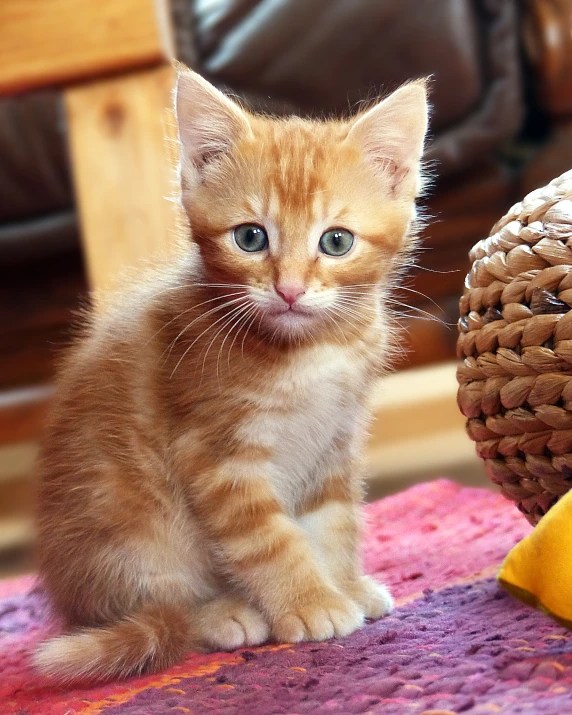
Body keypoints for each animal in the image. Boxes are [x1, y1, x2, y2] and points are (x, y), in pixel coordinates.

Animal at [34, 67, 428, 684]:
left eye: (336, 241)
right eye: (250, 237)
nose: (289, 289)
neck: (311, 352)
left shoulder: (335, 443)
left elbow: (334, 523)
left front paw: (343, 583)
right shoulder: (215, 453)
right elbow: (268, 538)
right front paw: (312, 603)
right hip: (129, 525)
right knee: (162, 608)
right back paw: (221, 614)